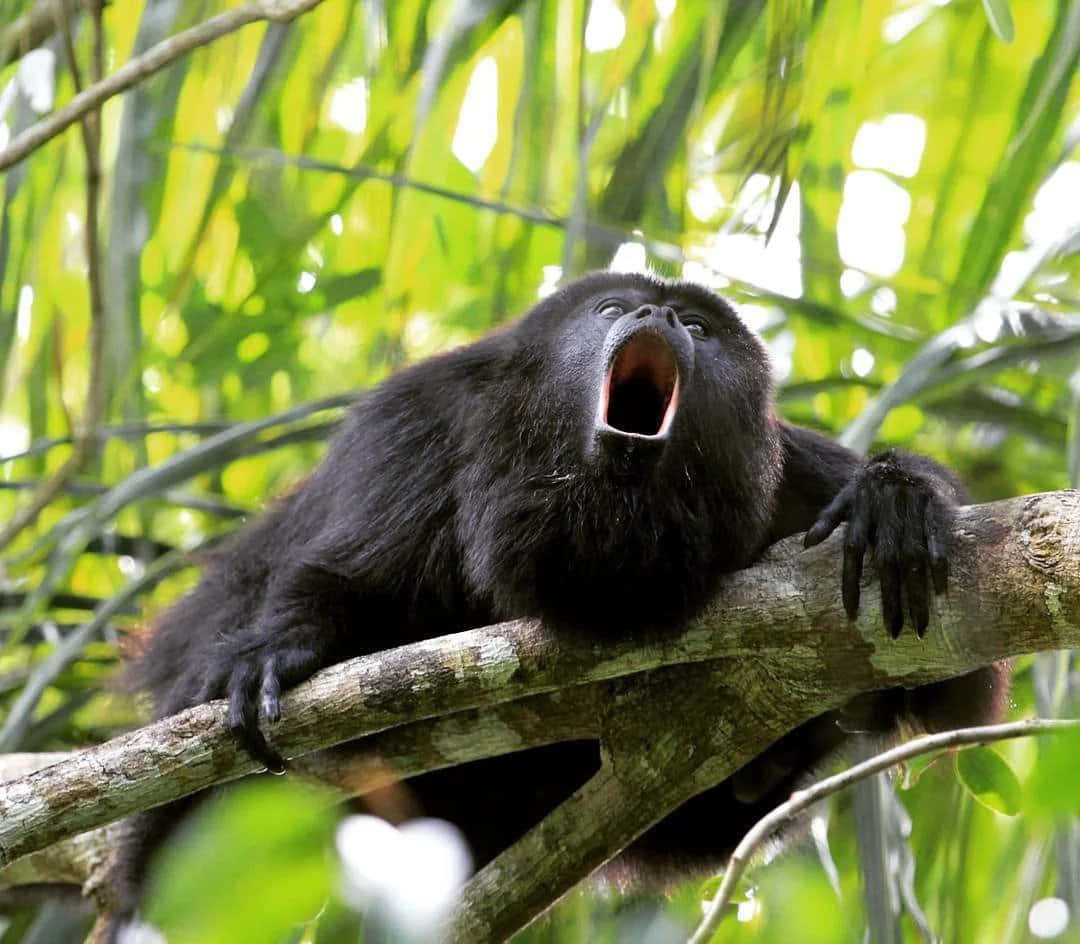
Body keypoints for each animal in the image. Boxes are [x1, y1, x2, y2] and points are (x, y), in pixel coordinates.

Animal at [110, 270, 1009, 916]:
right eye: (612, 307)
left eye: (698, 328)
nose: (655, 313)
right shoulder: (418, 423)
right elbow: (345, 578)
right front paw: (282, 649)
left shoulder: (790, 477)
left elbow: (953, 684)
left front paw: (894, 499)